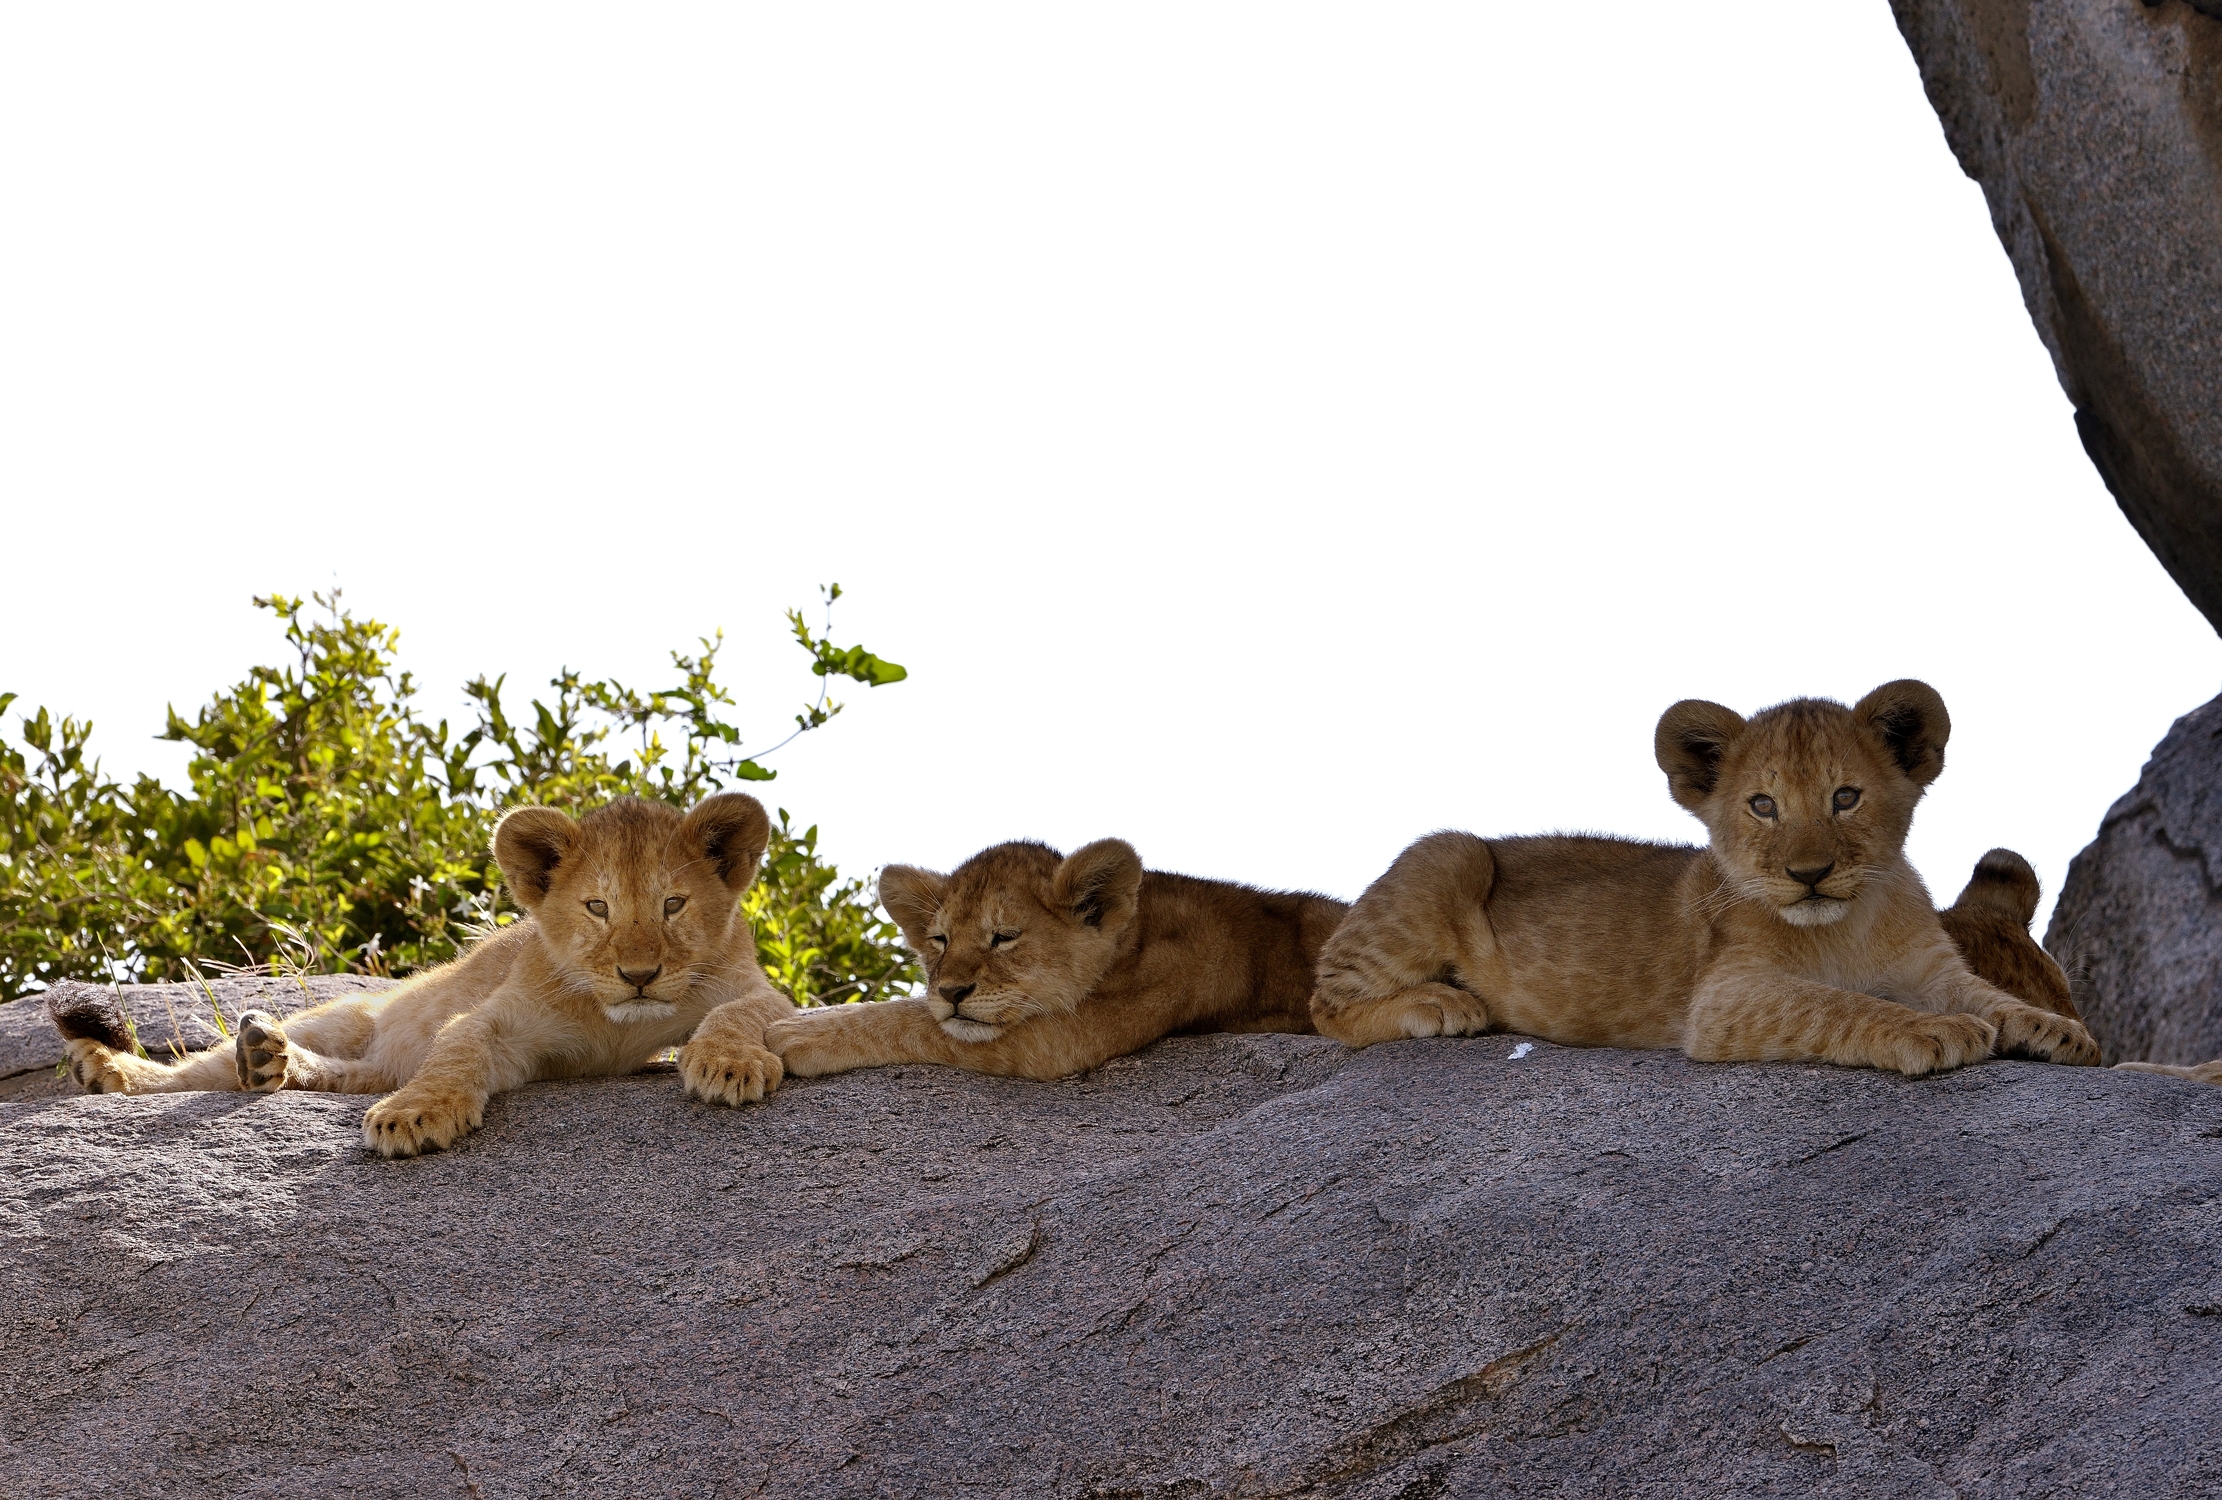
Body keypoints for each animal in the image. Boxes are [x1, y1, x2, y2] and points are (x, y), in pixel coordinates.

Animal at [49, 793, 796, 1156]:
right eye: (598, 907)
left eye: (673, 905)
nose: (639, 974)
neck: (619, 1026)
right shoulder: (500, 1019)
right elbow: (457, 1049)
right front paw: (415, 1117)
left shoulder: (755, 991)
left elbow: (741, 1014)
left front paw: (727, 1064)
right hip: (342, 1017)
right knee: (199, 1069)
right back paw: (119, 1068)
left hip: (367, 1062)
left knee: (345, 1077)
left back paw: (274, 1062)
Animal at [762, 838, 1346, 1080]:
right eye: (941, 940)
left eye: (1004, 937)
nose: (951, 991)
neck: (1134, 936)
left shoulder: (1068, 1037)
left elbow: (914, 1019)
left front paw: (798, 1033)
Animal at [1309, 681, 2101, 1076]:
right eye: (1763, 805)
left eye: (1845, 797)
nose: (1809, 874)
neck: (1849, 923)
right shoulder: (1723, 1000)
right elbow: (1839, 1004)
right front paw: (1934, 1031)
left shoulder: (1931, 965)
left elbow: (1988, 996)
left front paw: (2058, 1032)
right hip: (1452, 853)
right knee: (1326, 1004)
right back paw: (1444, 1005)